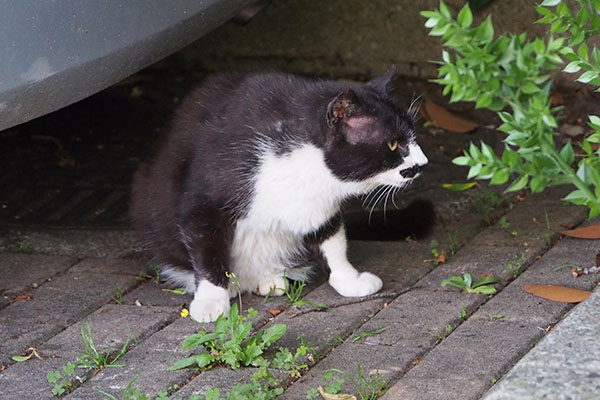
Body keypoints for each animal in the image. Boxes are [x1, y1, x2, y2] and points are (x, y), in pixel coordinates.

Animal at [131, 65, 428, 322]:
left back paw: (269, 279)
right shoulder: (204, 200)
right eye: (393, 145)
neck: (307, 160)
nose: (423, 164)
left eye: (413, 137)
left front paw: (349, 280)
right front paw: (211, 302)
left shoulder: (318, 204)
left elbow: (332, 241)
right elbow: (207, 250)